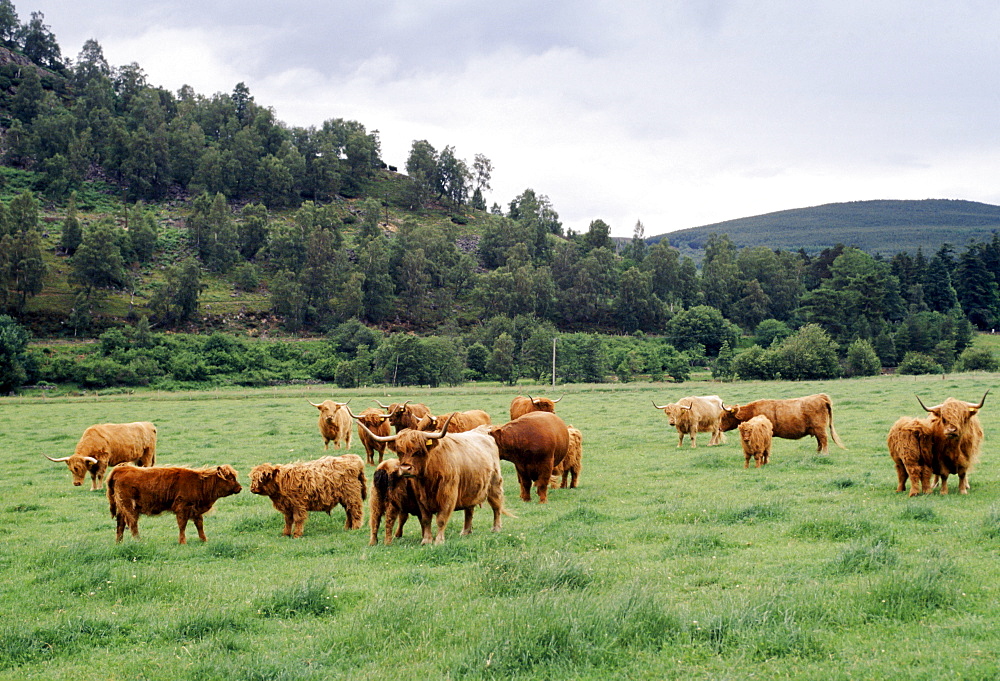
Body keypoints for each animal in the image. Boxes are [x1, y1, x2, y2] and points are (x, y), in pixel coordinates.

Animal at [107, 462, 242, 540]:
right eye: (230, 478)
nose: (240, 488)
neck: (199, 483)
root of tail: (121, 469)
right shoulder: (182, 508)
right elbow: (182, 525)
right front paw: (182, 542)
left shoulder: (195, 510)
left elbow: (199, 525)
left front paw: (204, 540)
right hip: (129, 507)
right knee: (132, 524)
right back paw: (138, 541)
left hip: (121, 508)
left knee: (120, 525)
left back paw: (119, 542)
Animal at [356, 412, 508, 544]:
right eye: (399, 451)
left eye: (419, 451)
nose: (405, 469)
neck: (428, 477)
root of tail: (483, 432)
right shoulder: (420, 499)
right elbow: (425, 519)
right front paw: (426, 540)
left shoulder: (448, 496)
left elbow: (441, 519)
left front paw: (439, 540)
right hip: (470, 489)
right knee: (469, 510)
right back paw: (465, 531)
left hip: (494, 484)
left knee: (496, 506)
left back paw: (496, 528)